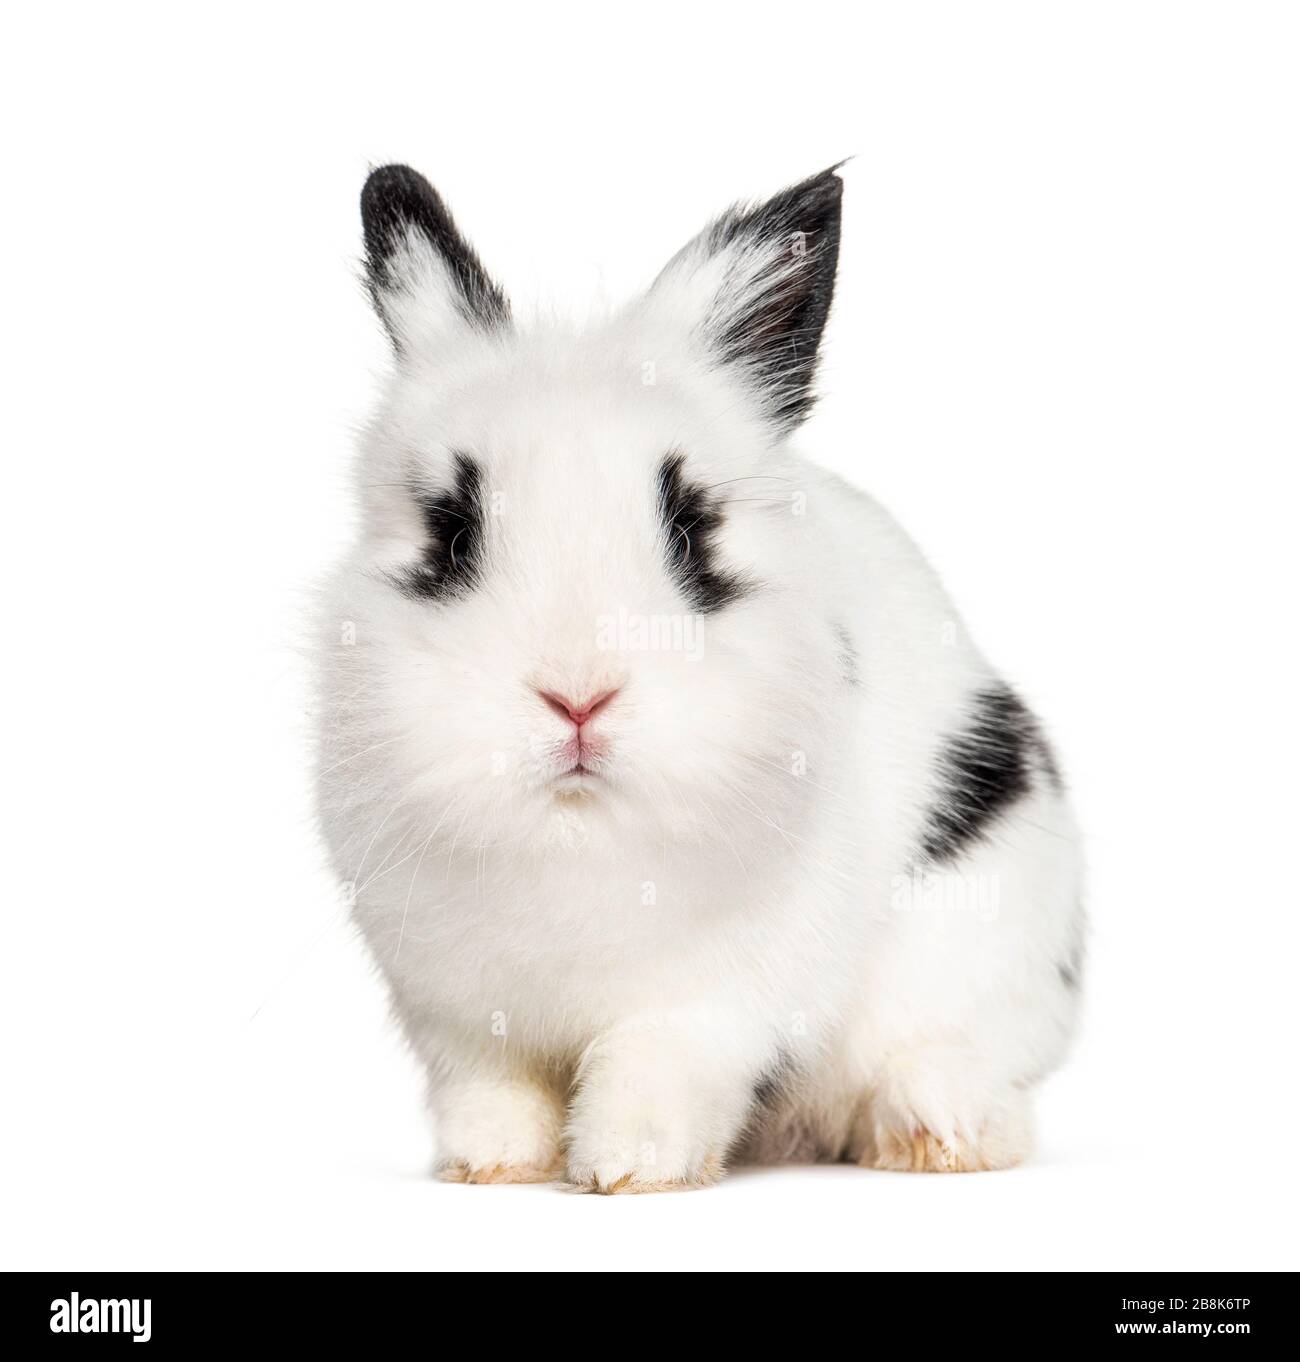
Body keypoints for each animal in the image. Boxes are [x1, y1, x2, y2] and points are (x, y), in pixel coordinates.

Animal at [314, 162, 1084, 1193]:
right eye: (451, 531)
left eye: (691, 529)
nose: (578, 697)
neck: (576, 836)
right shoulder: (460, 1015)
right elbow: (492, 1085)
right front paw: (492, 1163)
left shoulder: (716, 1000)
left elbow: (656, 1064)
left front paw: (630, 1166)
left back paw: (937, 1133)